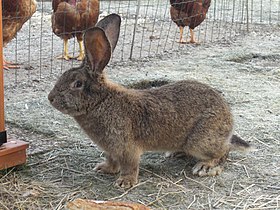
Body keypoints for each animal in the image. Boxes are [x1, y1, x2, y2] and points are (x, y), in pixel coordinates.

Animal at [48, 13, 252, 189]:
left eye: (77, 83)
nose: (51, 98)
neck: (101, 101)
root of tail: (229, 120)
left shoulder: (127, 147)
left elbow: (130, 165)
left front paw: (125, 182)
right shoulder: (111, 149)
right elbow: (111, 161)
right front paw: (104, 169)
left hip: (200, 140)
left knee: (223, 152)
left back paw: (206, 167)